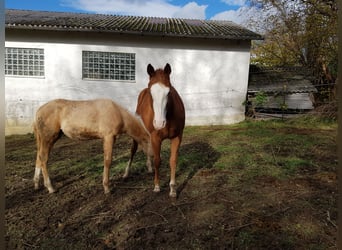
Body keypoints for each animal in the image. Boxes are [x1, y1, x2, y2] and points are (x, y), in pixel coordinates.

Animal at [124, 63, 186, 197]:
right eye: (150, 93)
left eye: (169, 92)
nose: (159, 123)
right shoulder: (156, 137)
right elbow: (157, 160)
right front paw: (157, 186)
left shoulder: (177, 137)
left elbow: (173, 161)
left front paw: (173, 189)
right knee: (133, 149)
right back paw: (126, 173)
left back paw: (149, 167)